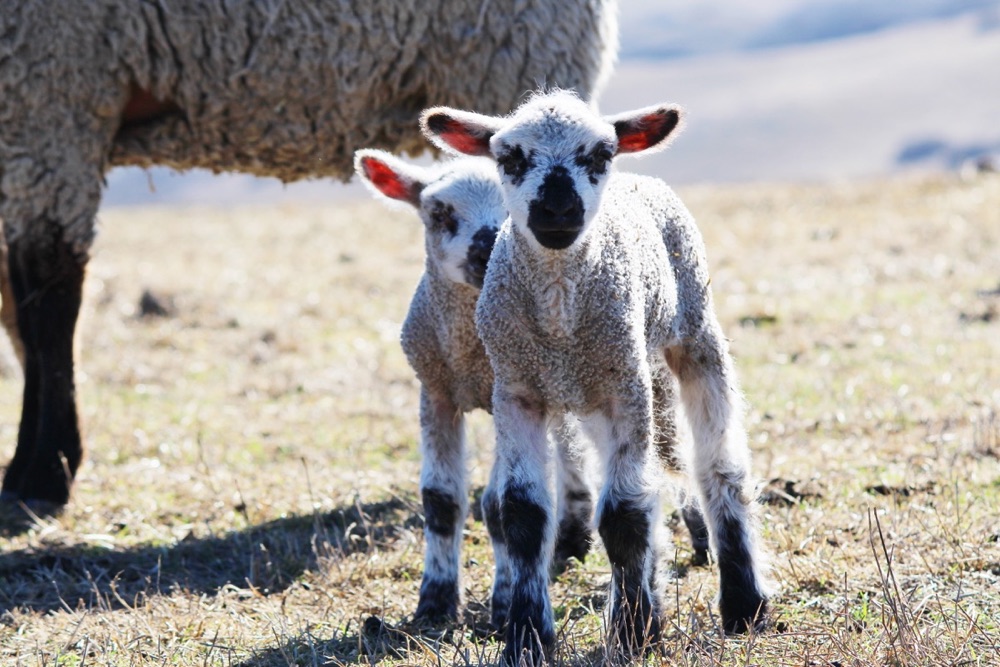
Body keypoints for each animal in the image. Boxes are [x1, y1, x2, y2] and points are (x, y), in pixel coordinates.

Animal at [0, 0, 619, 508]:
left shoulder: (54, 93)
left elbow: (48, 307)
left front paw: (45, 472)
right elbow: (20, 311)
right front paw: (30, 464)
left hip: (512, 59)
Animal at [421, 90, 770, 663]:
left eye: (601, 154)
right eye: (509, 158)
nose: (558, 210)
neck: (560, 319)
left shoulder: (625, 388)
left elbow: (624, 516)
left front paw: (633, 633)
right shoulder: (516, 389)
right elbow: (523, 516)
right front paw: (526, 636)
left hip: (692, 331)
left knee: (719, 465)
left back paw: (744, 604)